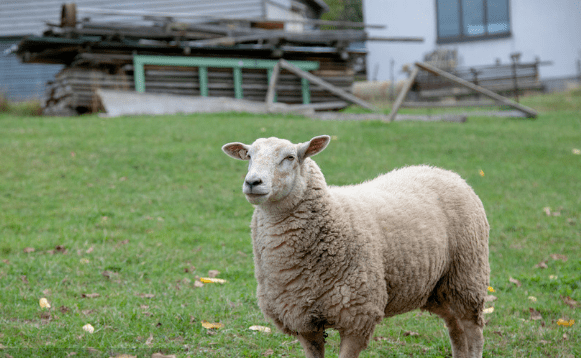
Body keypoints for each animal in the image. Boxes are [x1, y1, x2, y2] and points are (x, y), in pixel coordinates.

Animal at [222, 135, 490, 358]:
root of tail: (446, 172)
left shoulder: (358, 317)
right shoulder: (303, 321)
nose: (252, 182)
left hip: (468, 277)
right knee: (456, 330)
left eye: (290, 157)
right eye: (249, 156)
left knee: (473, 333)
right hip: (440, 287)